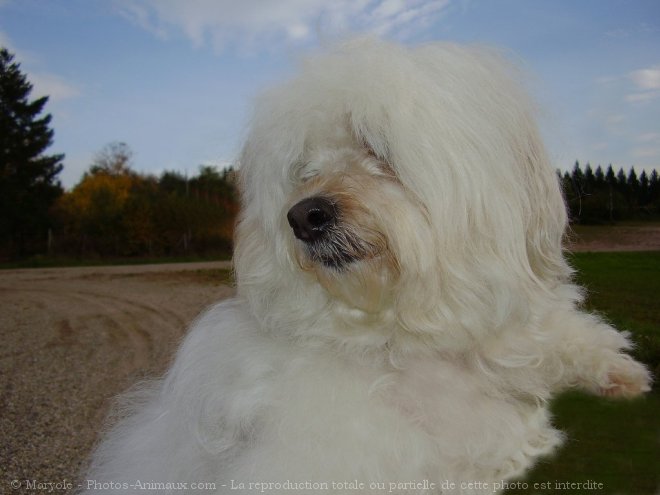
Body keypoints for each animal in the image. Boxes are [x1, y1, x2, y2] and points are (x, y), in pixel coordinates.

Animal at [82, 39, 648, 495]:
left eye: (376, 146)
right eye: (304, 168)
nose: (303, 216)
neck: (398, 334)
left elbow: (556, 339)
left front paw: (616, 370)